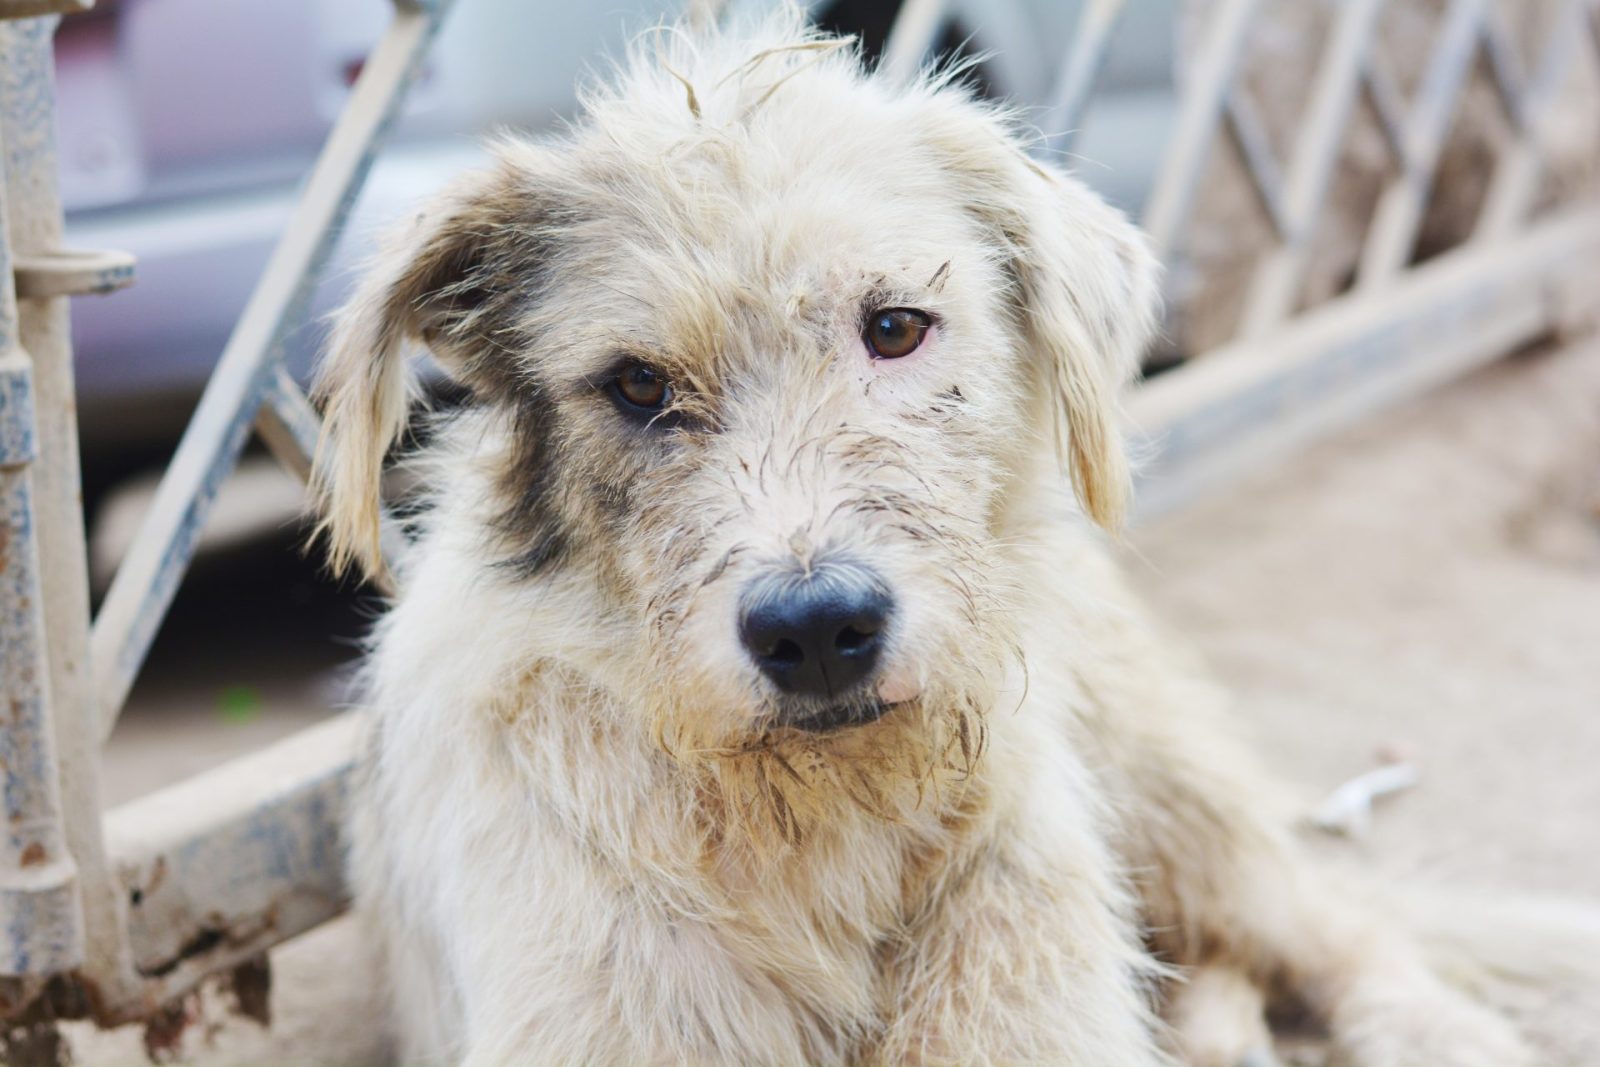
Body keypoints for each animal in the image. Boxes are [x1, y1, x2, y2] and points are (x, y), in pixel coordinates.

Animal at [308, 10, 1536, 1067]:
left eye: (895, 326)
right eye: (638, 385)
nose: (815, 628)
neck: (822, 819)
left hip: (1170, 792)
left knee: (1335, 920)